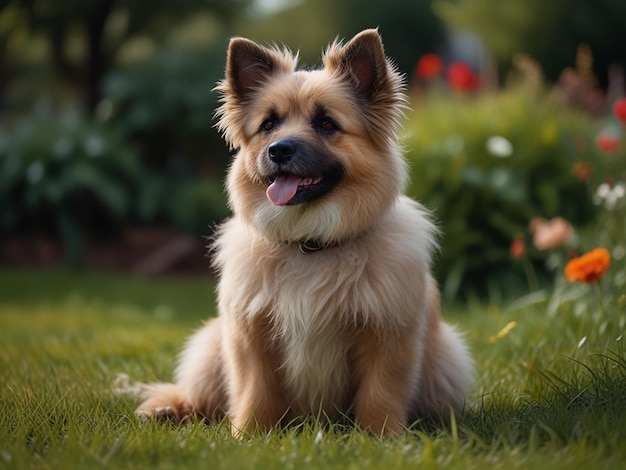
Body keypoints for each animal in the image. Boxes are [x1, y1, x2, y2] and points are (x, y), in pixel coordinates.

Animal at [129, 27, 470, 436]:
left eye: (327, 124)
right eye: (268, 125)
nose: (278, 150)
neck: (310, 242)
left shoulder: (388, 339)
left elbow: (380, 395)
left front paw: (381, 437)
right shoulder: (250, 338)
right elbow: (255, 392)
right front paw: (248, 436)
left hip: (446, 356)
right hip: (210, 346)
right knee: (200, 399)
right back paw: (168, 409)